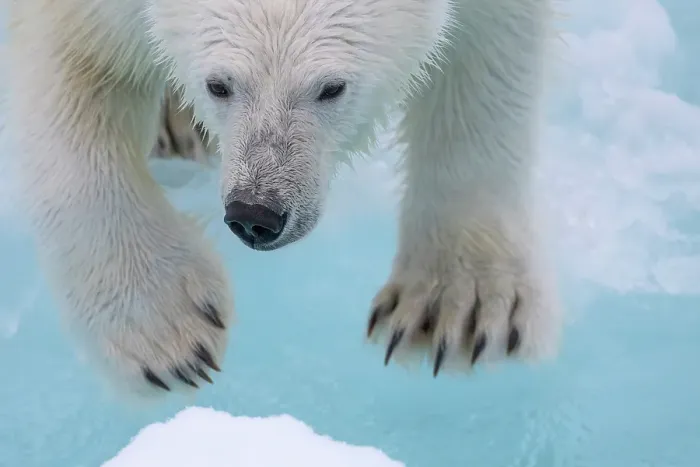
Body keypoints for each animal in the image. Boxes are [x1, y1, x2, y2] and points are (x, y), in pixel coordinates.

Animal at [5, 0, 562, 396]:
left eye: (332, 87)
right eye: (219, 84)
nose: (256, 214)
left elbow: (488, 61)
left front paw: (462, 307)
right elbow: (74, 63)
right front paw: (166, 330)